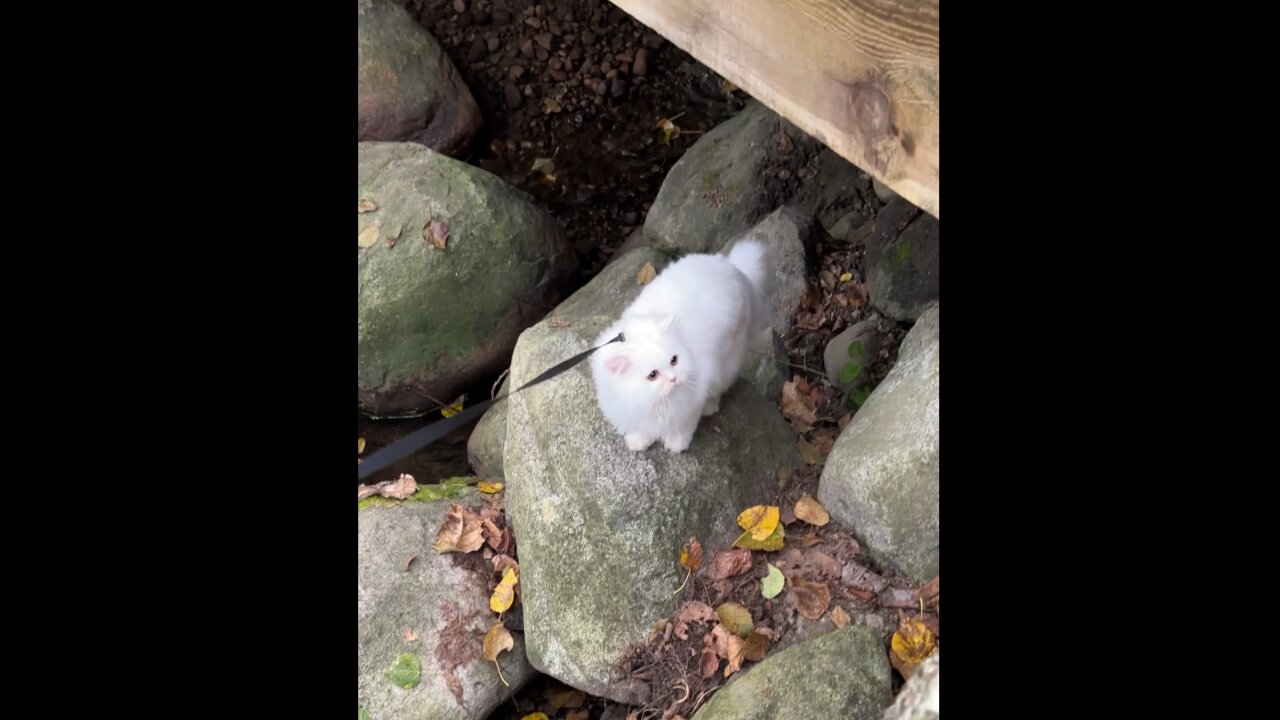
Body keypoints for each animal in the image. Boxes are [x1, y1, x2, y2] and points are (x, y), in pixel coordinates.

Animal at [588, 242, 768, 453]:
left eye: (674, 360)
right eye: (652, 375)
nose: (674, 379)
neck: (653, 402)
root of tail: (732, 267)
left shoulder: (690, 404)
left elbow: (682, 427)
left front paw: (676, 445)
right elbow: (642, 430)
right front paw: (638, 442)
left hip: (728, 361)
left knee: (719, 388)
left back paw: (710, 408)